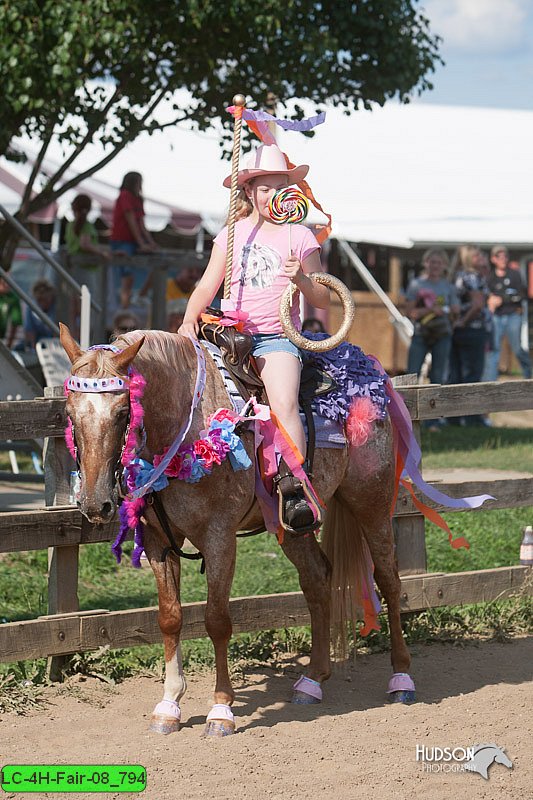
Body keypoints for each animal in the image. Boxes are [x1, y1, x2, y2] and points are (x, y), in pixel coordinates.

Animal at [60, 322, 414, 736]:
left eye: (121, 412)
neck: (185, 422)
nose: (94, 503)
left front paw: (221, 710)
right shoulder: (158, 542)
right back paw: (311, 680)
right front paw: (168, 705)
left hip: (371, 500)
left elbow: (217, 621)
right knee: (316, 578)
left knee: (388, 579)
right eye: (70, 412)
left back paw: (401, 678)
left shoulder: (219, 539)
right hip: (291, 525)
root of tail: (370, 370)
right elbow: (169, 618)